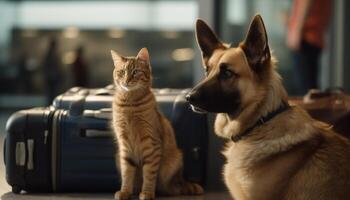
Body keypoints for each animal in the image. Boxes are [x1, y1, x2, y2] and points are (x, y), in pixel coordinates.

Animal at [110, 47, 204, 199]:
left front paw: (147, 193)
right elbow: (127, 173)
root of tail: (181, 181)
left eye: (135, 72)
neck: (130, 103)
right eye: (122, 72)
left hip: (174, 161)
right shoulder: (124, 146)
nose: (127, 80)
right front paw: (125, 191)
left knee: (171, 189)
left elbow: (149, 174)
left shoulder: (151, 144)